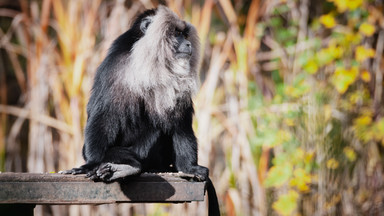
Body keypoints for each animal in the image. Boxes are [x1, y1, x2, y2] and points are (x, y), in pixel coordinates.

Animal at [59, 5, 219, 215]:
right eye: (176, 34)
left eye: (185, 34)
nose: (188, 44)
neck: (149, 59)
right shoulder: (118, 66)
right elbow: (103, 116)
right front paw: (90, 164)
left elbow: (180, 124)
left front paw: (189, 167)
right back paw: (126, 167)